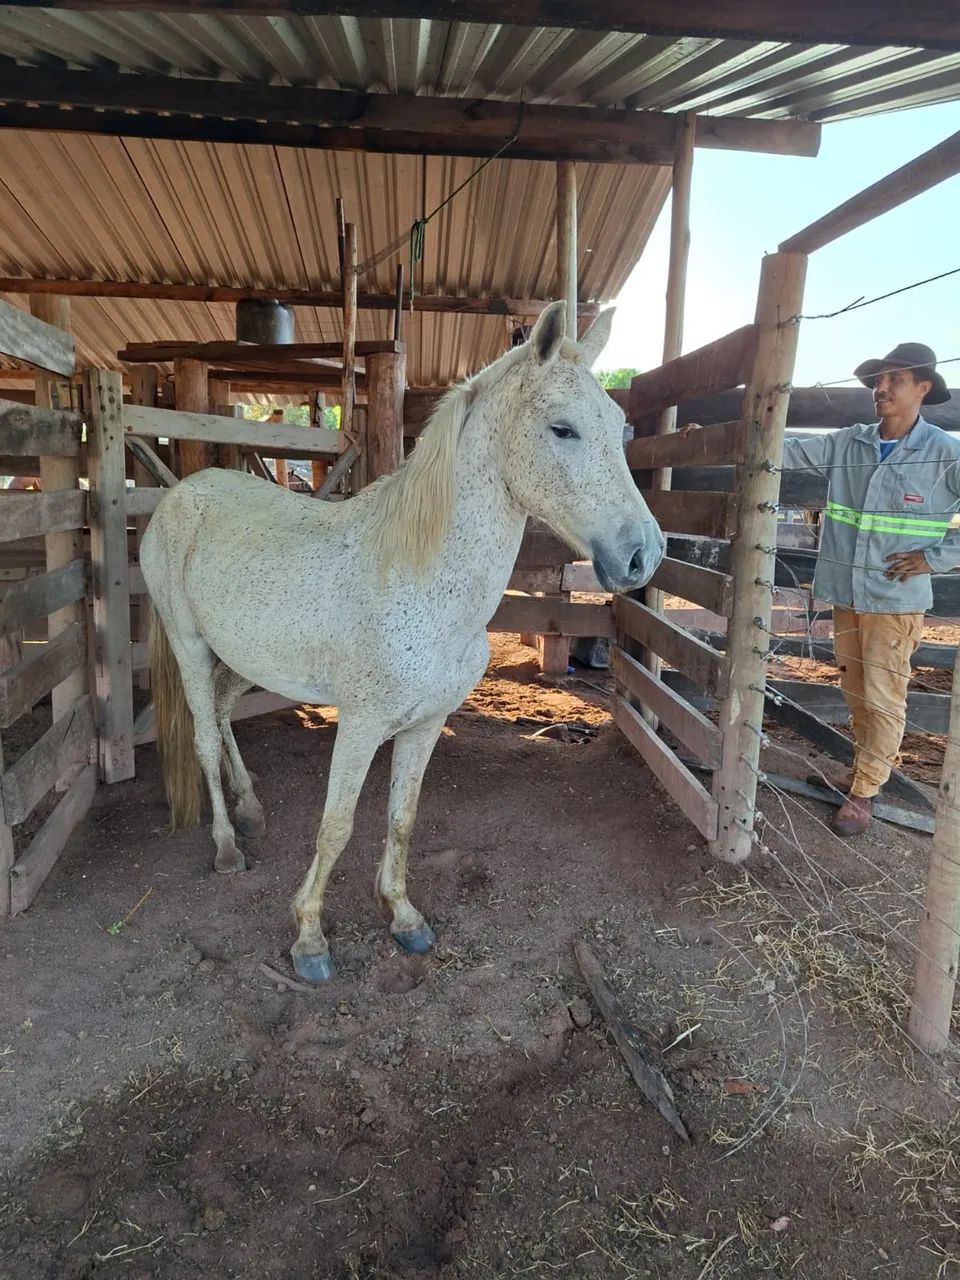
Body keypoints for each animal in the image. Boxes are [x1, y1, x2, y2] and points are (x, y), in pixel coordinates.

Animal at [141, 301, 664, 983]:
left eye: (619, 427)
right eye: (563, 429)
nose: (643, 554)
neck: (419, 576)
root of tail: (180, 494)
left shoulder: (425, 723)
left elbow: (402, 817)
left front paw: (403, 916)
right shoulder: (361, 724)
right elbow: (336, 826)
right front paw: (309, 937)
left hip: (244, 656)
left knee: (228, 715)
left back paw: (251, 808)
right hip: (190, 645)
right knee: (204, 736)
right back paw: (228, 846)